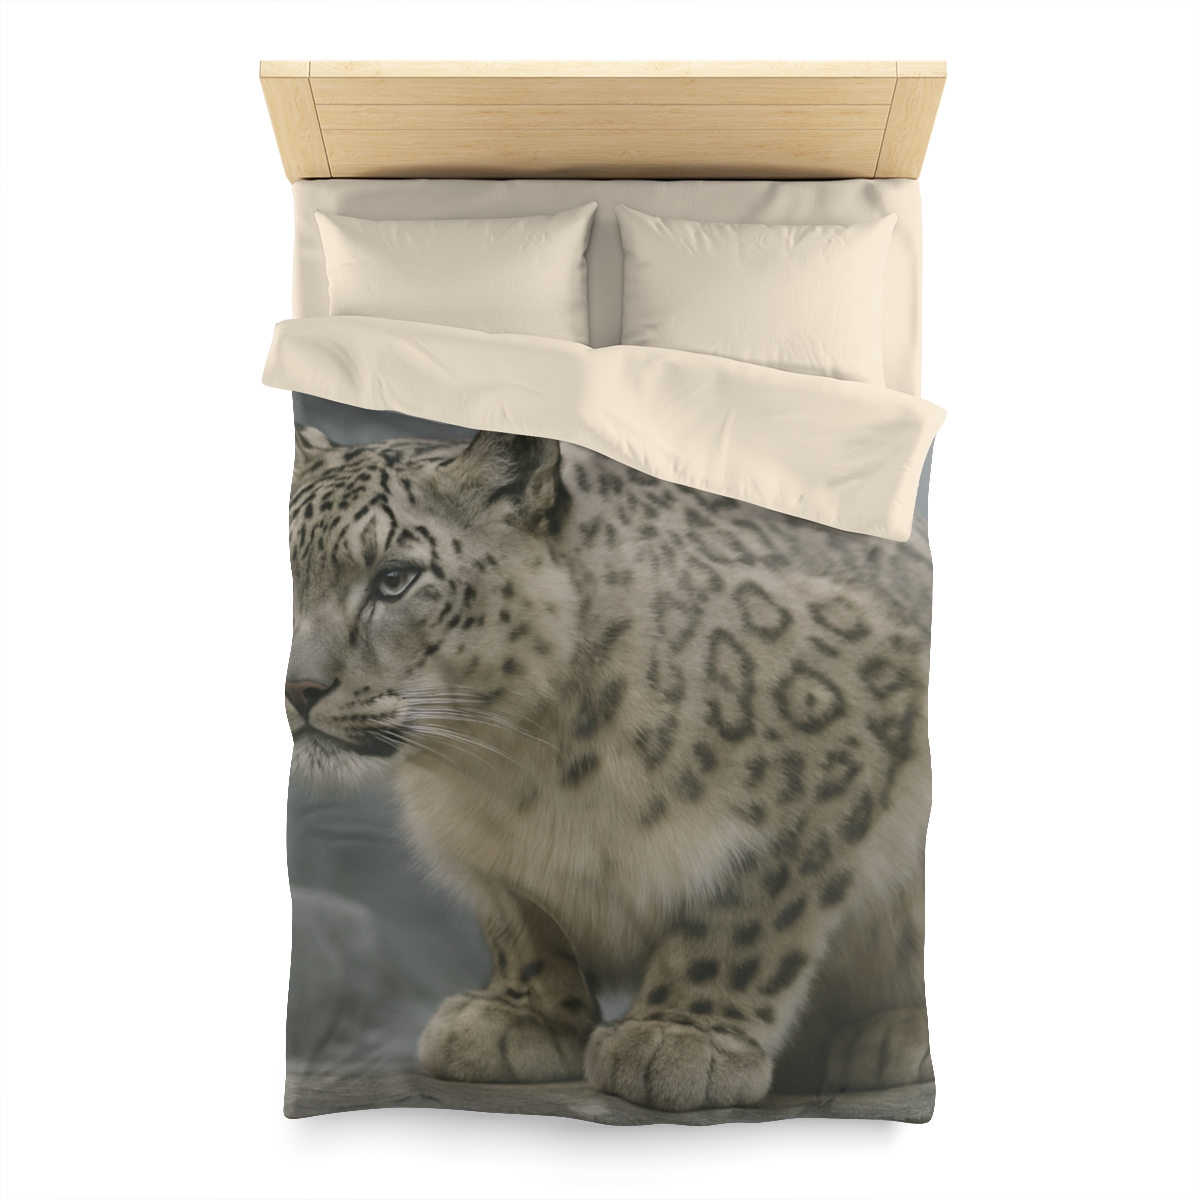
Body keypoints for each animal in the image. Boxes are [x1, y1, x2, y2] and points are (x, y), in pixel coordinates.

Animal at [286, 424, 934, 1112]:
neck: (516, 768)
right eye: (286, 572)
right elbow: (522, 926)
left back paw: (895, 1038)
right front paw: (519, 1017)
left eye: (394, 579)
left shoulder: (824, 773)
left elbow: (747, 917)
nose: (299, 688)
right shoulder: (490, 855)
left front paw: (679, 1038)